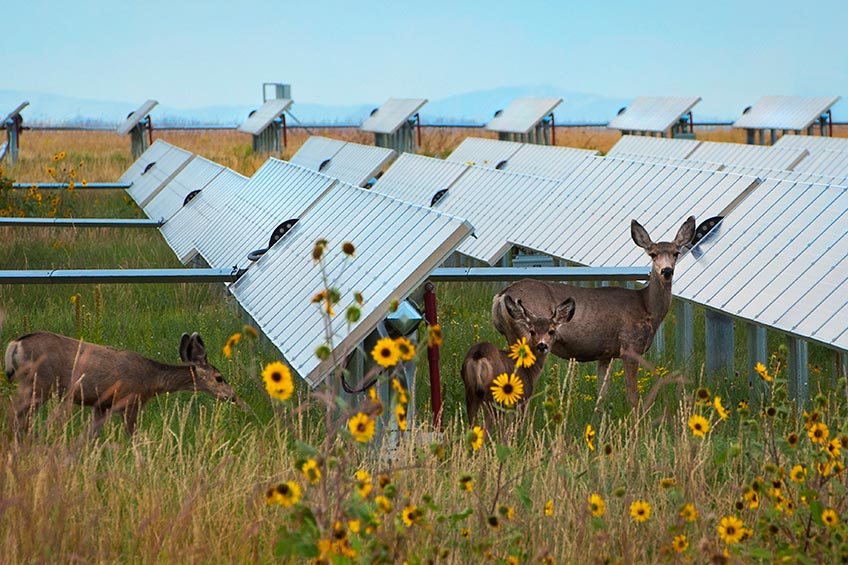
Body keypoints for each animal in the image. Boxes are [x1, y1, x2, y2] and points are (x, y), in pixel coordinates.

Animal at [4, 331, 240, 436]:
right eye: (219, 377)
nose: (232, 396)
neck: (152, 380)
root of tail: (15, 344)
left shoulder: (101, 404)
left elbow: (93, 434)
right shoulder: (130, 401)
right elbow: (132, 435)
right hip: (39, 384)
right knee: (16, 412)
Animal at [462, 295, 575, 429]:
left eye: (551, 331)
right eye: (532, 331)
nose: (542, 345)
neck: (529, 371)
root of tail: (478, 356)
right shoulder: (522, 400)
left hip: (471, 393)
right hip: (494, 396)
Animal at [492, 216, 696, 409]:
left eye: (676, 253)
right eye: (652, 254)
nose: (667, 271)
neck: (646, 307)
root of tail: (500, 297)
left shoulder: (605, 354)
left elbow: (601, 398)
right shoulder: (630, 346)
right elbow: (632, 397)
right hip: (528, 338)